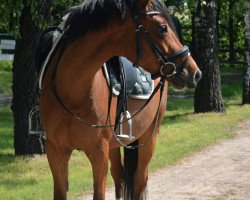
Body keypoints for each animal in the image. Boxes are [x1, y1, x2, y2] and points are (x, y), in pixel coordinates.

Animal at [39, 0, 201, 200]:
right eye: (162, 28)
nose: (194, 73)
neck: (72, 91)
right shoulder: (56, 152)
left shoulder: (98, 152)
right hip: (115, 144)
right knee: (120, 175)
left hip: (149, 136)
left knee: (139, 178)